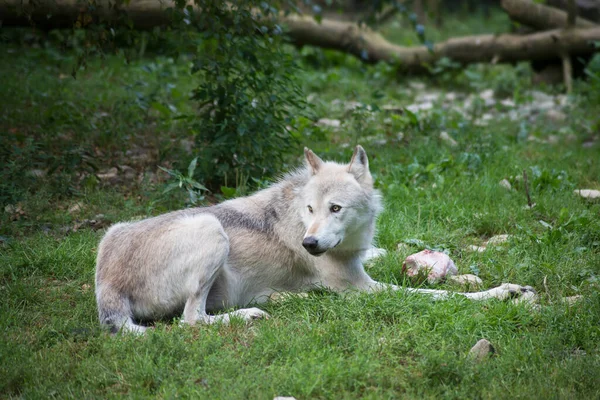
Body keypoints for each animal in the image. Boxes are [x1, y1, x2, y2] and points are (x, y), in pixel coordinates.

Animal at [95, 145, 536, 332]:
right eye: (310, 209)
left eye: (335, 209)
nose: (309, 245)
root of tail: (105, 284)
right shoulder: (363, 289)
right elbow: (442, 295)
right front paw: (505, 292)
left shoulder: (358, 257)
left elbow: (393, 253)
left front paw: (457, 269)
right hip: (209, 228)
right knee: (191, 320)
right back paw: (251, 313)